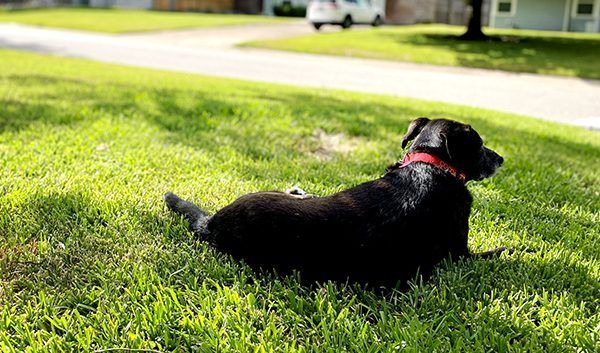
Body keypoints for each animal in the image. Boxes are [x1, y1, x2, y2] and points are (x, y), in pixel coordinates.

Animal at [164, 117, 506, 284]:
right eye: (480, 145)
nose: (501, 159)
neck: (428, 165)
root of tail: (213, 223)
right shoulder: (459, 255)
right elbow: (498, 252)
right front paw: (511, 249)